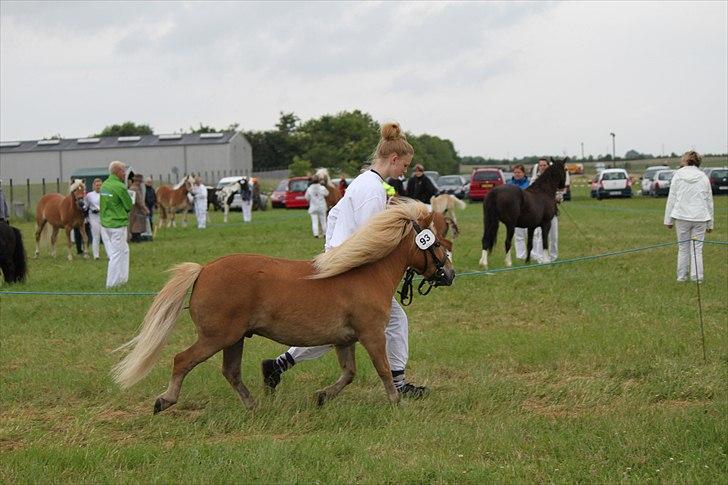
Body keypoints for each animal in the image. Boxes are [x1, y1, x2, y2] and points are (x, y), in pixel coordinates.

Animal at [112, 199, 456, 414]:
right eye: (438, 243)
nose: (450, 275)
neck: (365, 273)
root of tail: (204, 270)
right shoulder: (372, 335)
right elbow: (383, 369)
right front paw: (397, 402)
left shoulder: (343, 340)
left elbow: (348, 374)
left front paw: (321, 397)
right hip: (216, 337)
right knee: (182, 360)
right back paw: (165, 400)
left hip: (234, 339)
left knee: (231, 372)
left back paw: (254, 405)